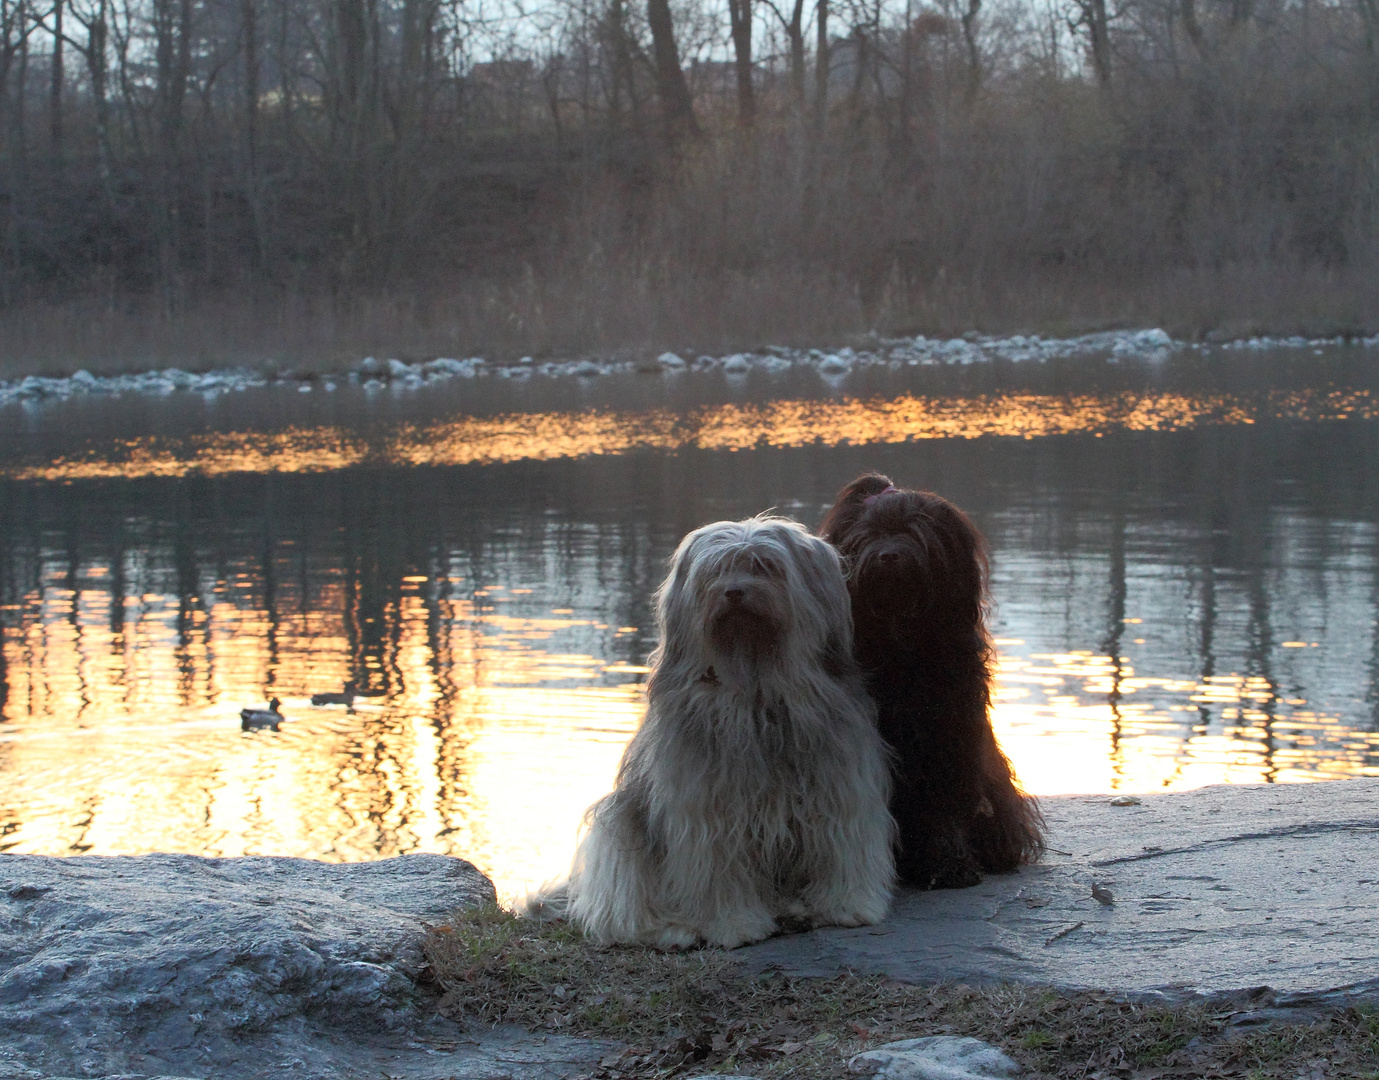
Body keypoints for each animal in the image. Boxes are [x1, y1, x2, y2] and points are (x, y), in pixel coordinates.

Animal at [526, 515, 893, 948]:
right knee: (620, 909)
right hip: (620, 823)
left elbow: (843, 844)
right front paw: (733, 924)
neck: (755, 686)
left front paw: (847, 906)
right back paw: (672, 929)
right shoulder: (708, 811)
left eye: (765, 566)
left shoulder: (838, 787)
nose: (734, 592)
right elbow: (718, 871)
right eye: (716, 571)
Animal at [816, 474, 1042, 888]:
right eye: (868, 535)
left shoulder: (947, 739)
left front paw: (949, 865)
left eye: (915, 532)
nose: (889, 556)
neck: (901, 647)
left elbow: (941, 808)